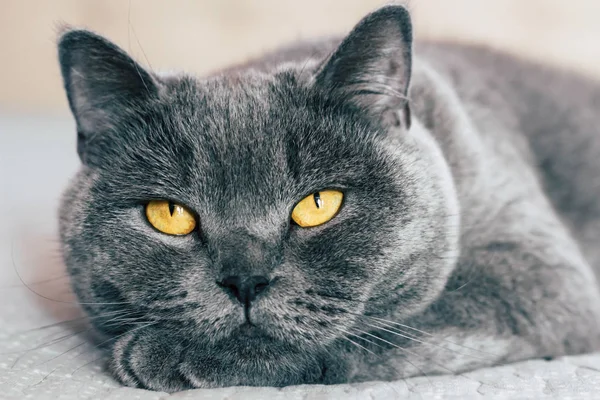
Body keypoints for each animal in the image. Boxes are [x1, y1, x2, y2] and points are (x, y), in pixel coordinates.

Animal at [55, 4, 600, 392]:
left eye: (319, 204)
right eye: (169, 215)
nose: (245, 279)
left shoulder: (539, 275)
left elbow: (389, 324)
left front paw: (158, 354)